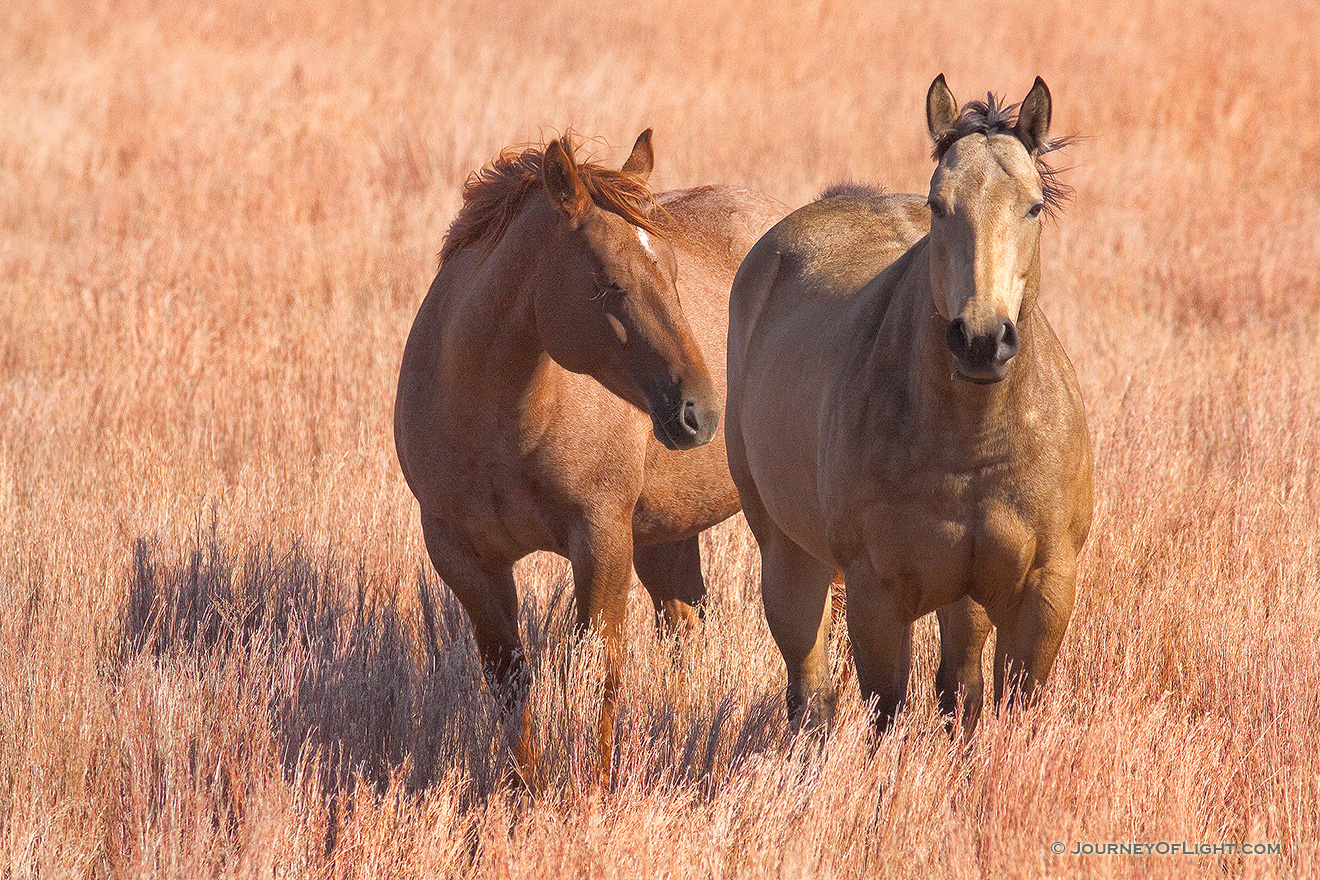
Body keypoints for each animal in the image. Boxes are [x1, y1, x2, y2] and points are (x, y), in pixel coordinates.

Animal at [390, 129, 781, 775]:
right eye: (610, 282)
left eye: (675, 272)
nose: (700, 413)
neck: (498, 425)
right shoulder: (463, 557)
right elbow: (510, 680)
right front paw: (525, 785)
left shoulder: (601, 539)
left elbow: (599, 671)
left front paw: (591, 786)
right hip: (667, 533)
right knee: (685, 627)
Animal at [728, 77, 1087, 738]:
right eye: (940, 205)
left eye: (1032, 207)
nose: (981, 339)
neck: (974, 445)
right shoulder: (876, 592)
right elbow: (885, 710)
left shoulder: (1043, 591)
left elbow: (1001, 705)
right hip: (786, 551)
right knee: (809, 690)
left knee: (958, 685)